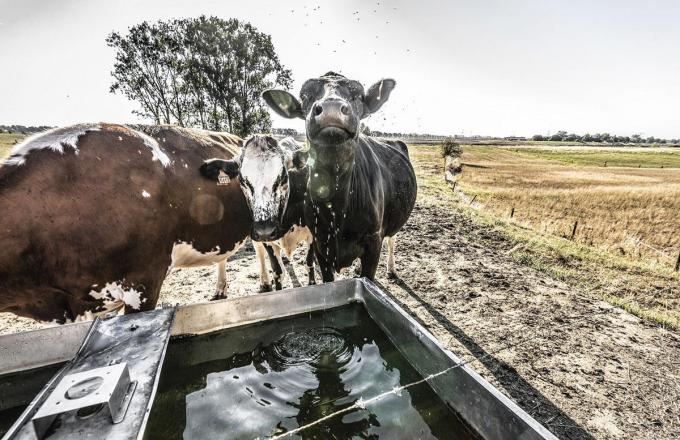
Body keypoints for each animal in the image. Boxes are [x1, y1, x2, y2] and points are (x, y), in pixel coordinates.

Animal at [198, 136, 312, 290]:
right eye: (242, 180)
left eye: (283, 177)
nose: (265, 231)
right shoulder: (267, 242)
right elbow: (278, 272)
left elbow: (309, 265)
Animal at [262, 70, 418, 280]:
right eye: (305, 96)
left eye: (358, 96)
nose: (332, 109)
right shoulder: (320, 244)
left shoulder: (373, 242)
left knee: (392, 240)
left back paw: (391, 269)